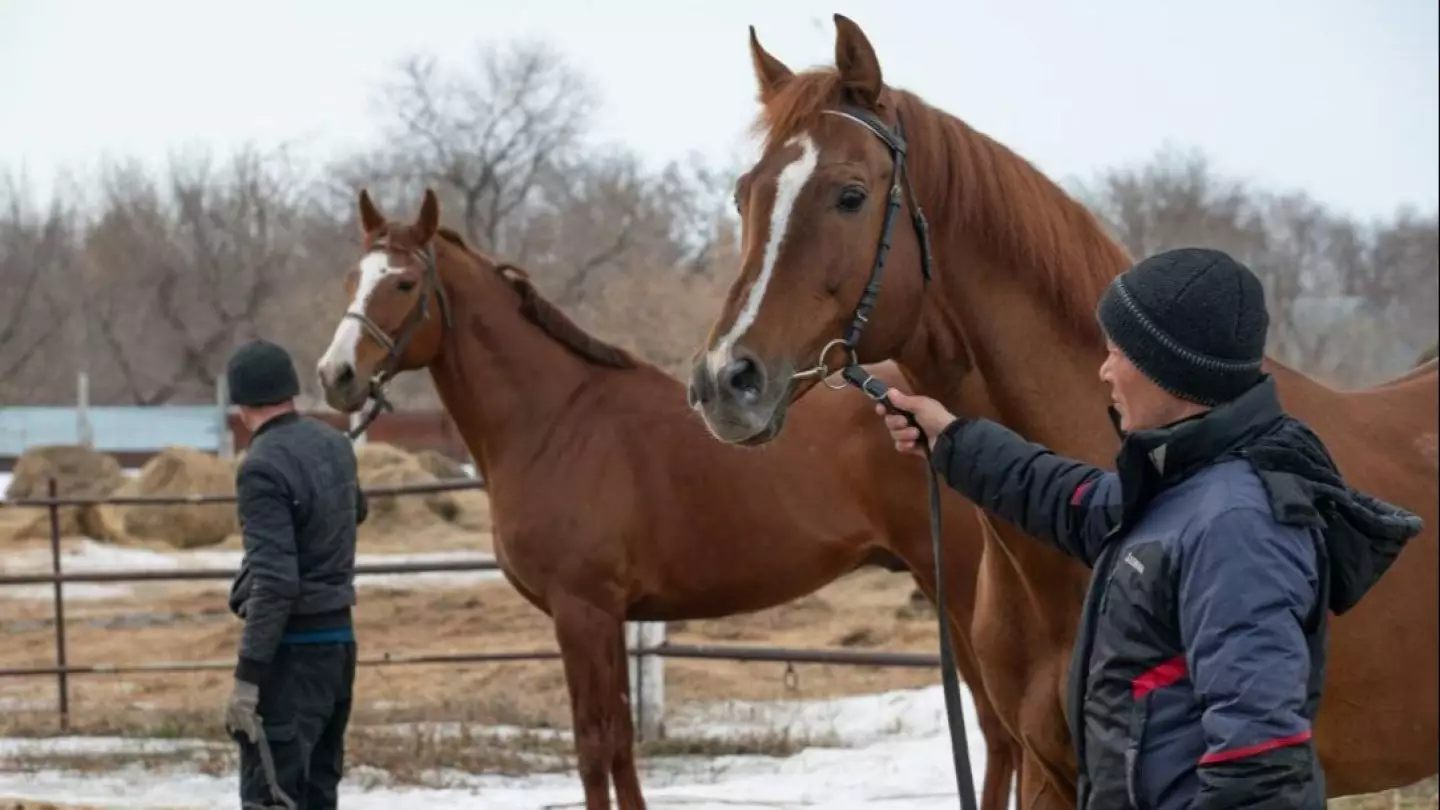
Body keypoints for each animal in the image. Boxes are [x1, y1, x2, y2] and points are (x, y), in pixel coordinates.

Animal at [311, 187, 1025, 807]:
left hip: (960, 588)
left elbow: (594, 746)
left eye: (404, 284)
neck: (556, 420)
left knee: (1002, 730)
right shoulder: (608, 618)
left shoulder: (582, 611)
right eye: (350, 280)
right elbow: (622, 747)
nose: (336, 375)